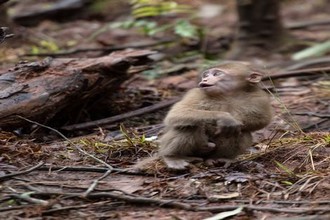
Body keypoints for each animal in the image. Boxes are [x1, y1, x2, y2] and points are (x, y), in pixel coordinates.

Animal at [135, 61, 272, 170]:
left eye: (216, 74)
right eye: (206, 75)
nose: (204, 80)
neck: (228, 95)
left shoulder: (259, 97)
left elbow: (262, 120)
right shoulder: (196, 93)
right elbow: (177, 113)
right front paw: (225, 118)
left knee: (242, 132)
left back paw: (221, 158)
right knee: (189, 126)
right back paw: (173, 157)